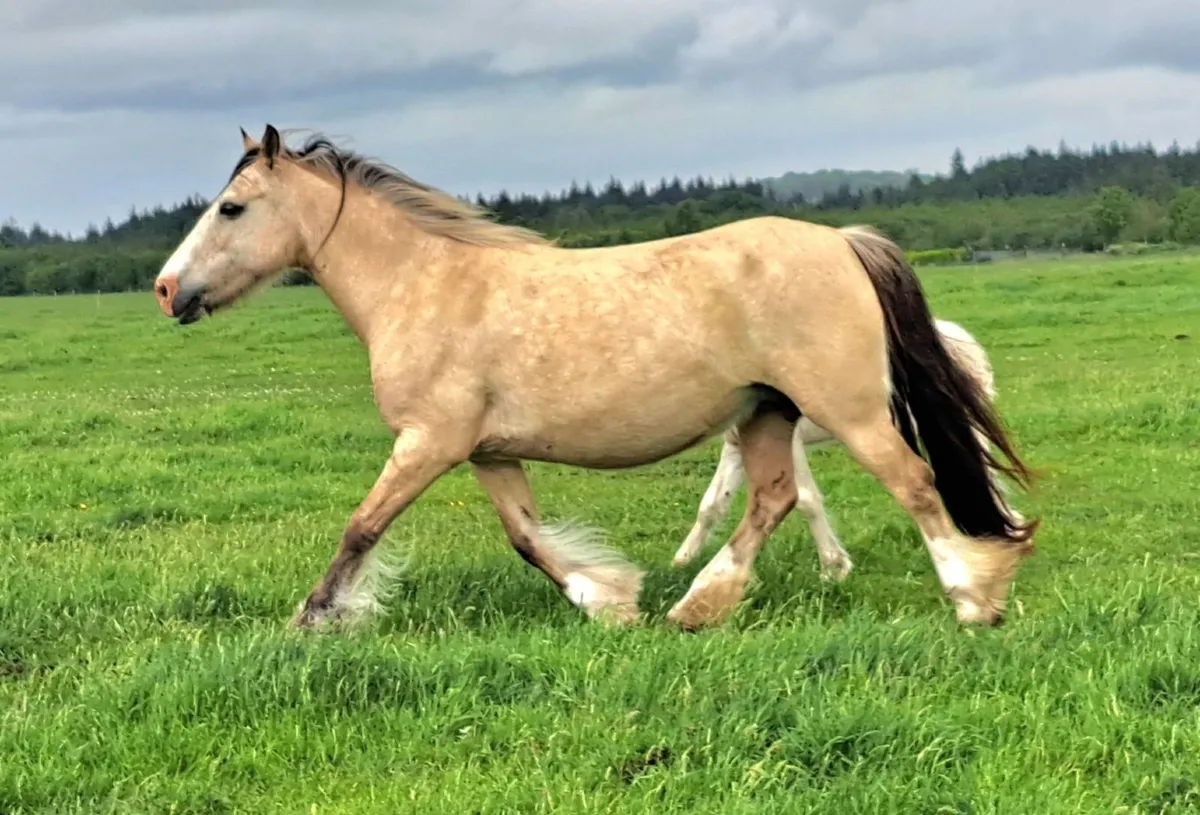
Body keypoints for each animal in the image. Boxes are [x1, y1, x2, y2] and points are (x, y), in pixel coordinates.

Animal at [674, 318, 1026, 581]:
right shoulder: (735, 447)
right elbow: (712, 504)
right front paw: (683, 561)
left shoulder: (789, 445)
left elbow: (806, 499)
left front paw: (833, 568)